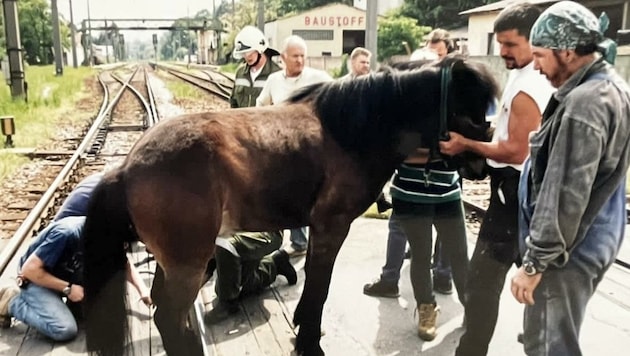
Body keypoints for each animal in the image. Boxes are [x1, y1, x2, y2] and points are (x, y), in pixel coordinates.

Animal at [82, 56, 498, 356]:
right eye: (467, 111)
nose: (482, 167)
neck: (352, 131)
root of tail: (127, 166)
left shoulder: (318, 228)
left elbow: (313, 279)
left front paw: (303, 326)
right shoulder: (332, 226)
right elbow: (320, 284)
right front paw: (310, 341)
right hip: (189, 262)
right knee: (170, 317)